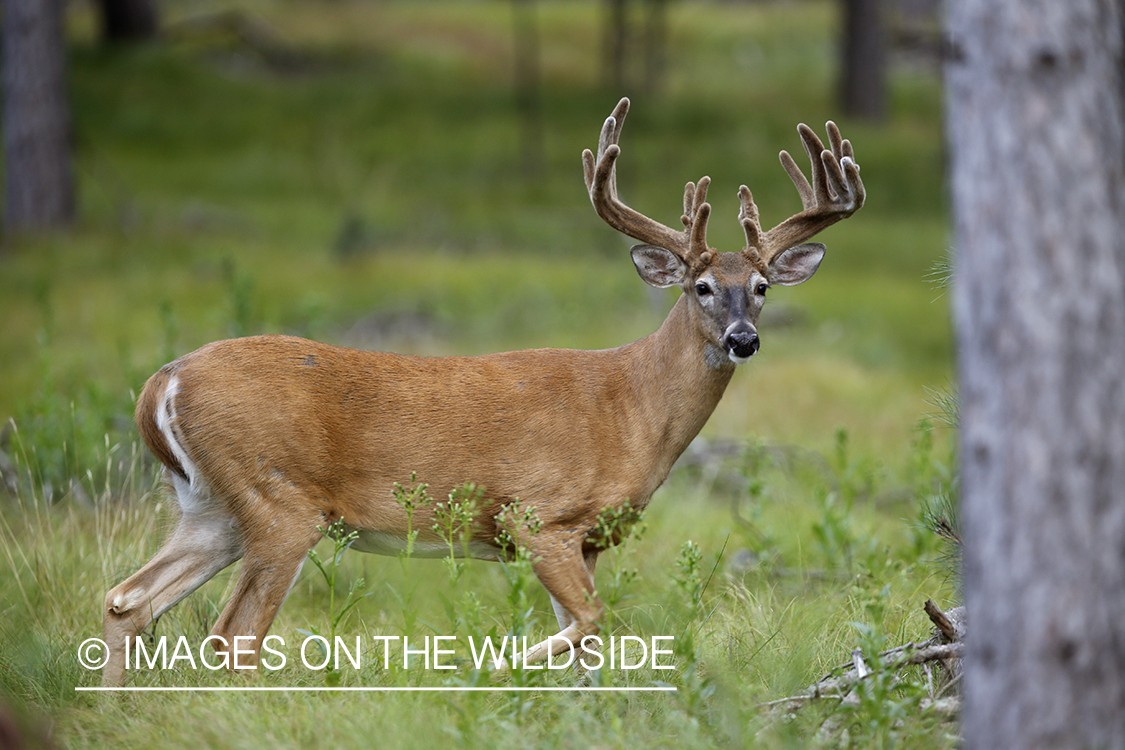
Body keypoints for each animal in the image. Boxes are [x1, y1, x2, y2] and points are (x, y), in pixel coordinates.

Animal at [103, 96, 859, 683]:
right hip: (278, 503)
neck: (631, 407)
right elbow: (591, 620)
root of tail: (160, 384)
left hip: (211, 506)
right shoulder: (537, 517)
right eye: (700, 286)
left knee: (127, 601)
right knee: (231, 637)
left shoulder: (586, 538)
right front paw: (485, 667)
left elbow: (592, 646)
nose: (742, 339)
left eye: (760, 288)